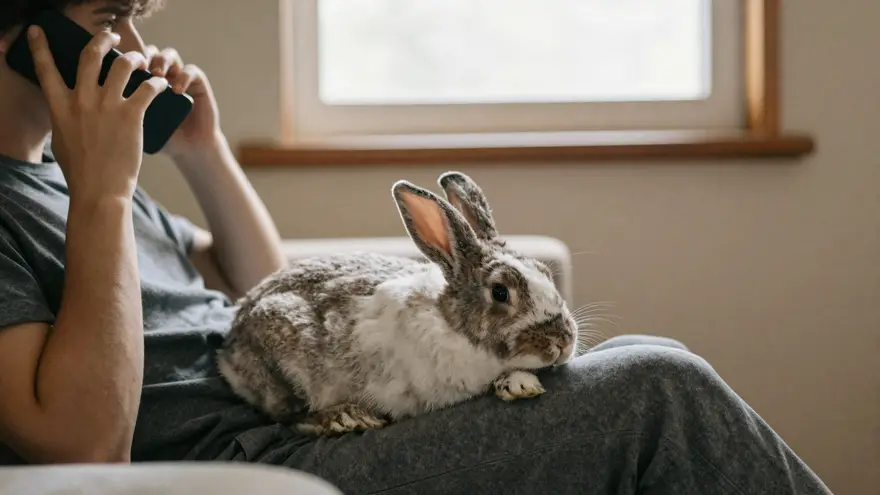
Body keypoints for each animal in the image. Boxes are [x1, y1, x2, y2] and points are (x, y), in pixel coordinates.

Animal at [216, 171, 579, 436]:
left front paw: (520, 383)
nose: (563, 341)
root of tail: (228, 352)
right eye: (501, 293)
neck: (453, 326)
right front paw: (520, 384)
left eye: (546, 273)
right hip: (282, 368)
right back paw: (347, 418)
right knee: (287, 417)